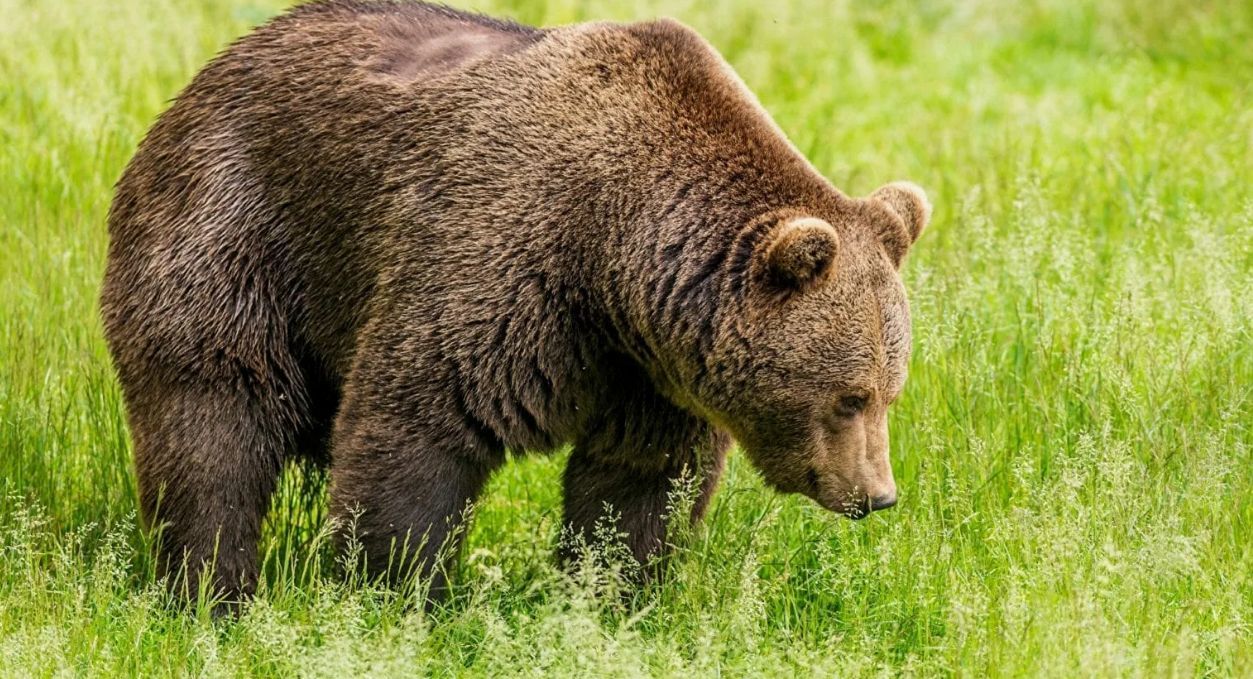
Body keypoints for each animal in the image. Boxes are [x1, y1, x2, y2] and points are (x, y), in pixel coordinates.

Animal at [101, 0, 931, 603]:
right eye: (850, 397)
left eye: (891, 390)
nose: (877, 495)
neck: (613, 254)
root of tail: (205, 75)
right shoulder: (500, 260)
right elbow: (416, 427)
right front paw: (398, 592)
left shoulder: (648, 368)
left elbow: (636, 484)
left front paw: (611, 598)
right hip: (237, 233)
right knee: (213, 418)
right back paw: (213, 590)